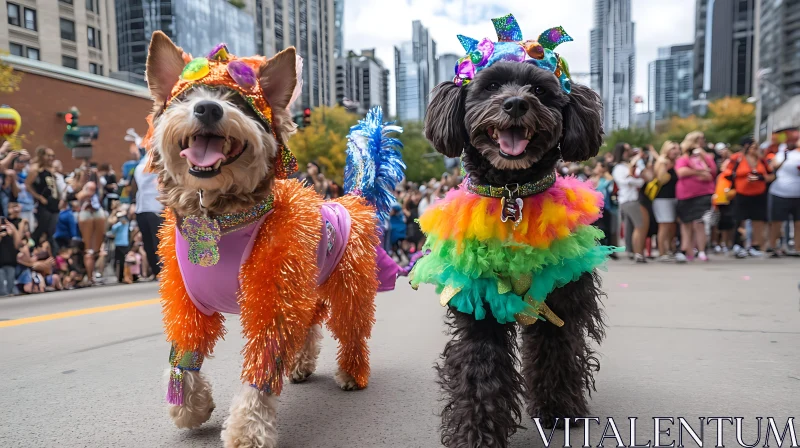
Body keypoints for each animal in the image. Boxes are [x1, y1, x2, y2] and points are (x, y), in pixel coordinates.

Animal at [424, 60, 608, 448]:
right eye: (491, 86)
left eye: (539, 90)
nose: (515, 104)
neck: (512, 192)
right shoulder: (480, 306)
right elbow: (480, 370)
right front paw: (476, 435)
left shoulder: (557, 304)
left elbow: (557, 353)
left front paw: (559, 412)